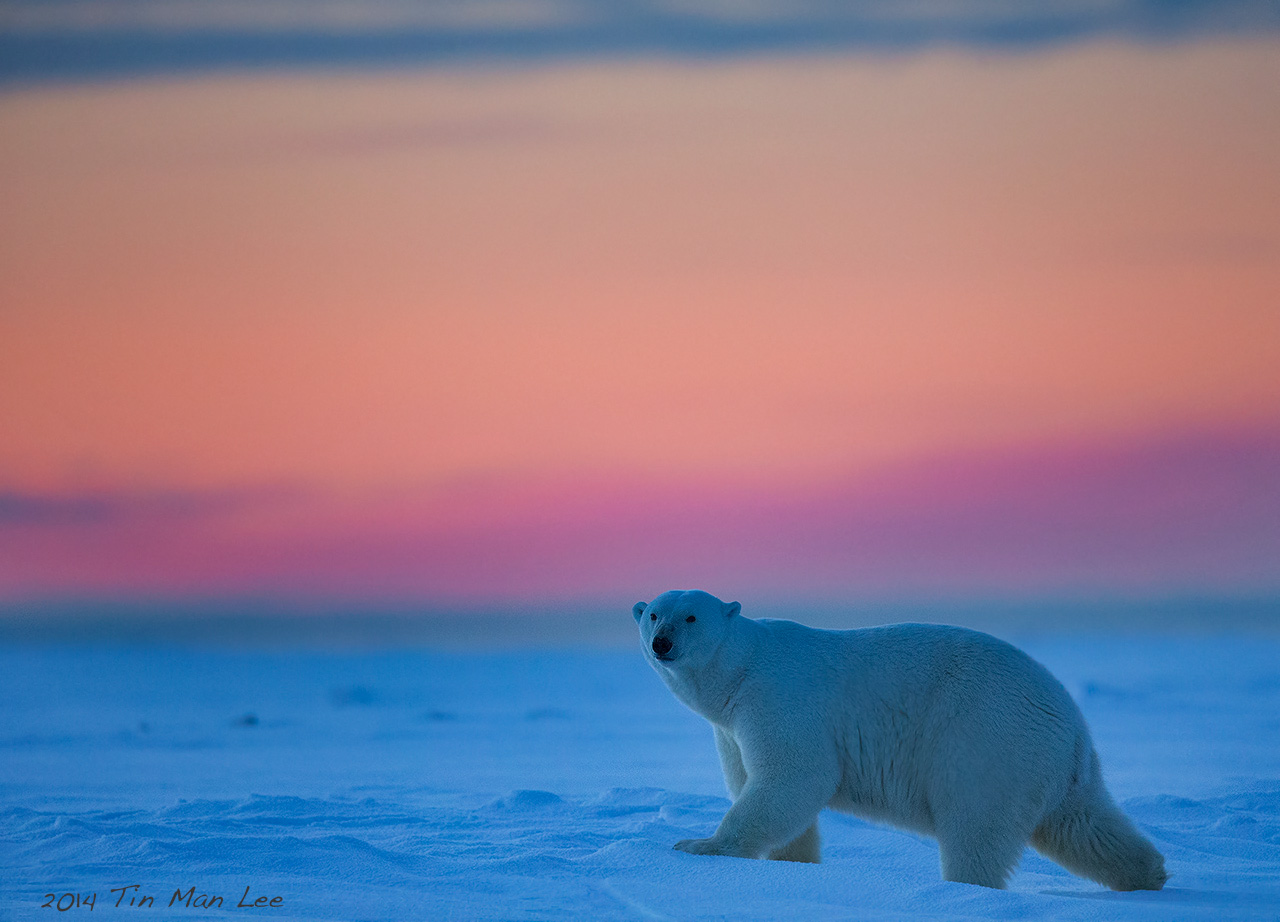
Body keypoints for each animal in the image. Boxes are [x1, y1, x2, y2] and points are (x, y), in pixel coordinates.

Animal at [632, 591, 1172, 891]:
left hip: (985, 740)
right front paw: (793, 864)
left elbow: (793, 778)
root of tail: (1069, 718)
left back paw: (964, 891)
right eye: (654, 614)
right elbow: (762, 785)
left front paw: (699, 844)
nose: (663, 643)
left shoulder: (778, 699)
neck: (740, 670)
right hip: (1049, 764)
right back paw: (1150, 876)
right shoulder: (729, 728)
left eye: (691, 616)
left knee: (975, 829)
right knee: (1083, 825)